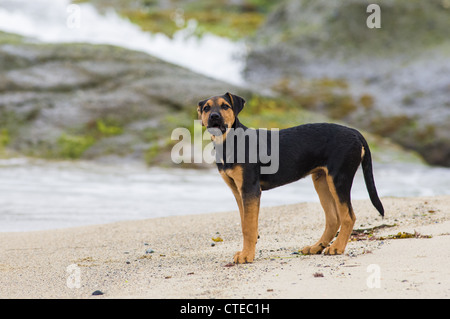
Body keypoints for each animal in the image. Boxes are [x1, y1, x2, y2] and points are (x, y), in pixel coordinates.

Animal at [197, 92, 384, 264]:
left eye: (225, 106)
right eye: (206, 108)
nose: (214, 116)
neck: (229, 142)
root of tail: (355, 132)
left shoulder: (250, 189)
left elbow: (249, 227)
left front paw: (246, 256)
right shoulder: (238, 191)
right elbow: (245, 224)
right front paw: (246, 252)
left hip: (339, 179)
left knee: (348, 217)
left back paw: (337, 248)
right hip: (322, 181)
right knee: (333, 219)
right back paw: (316, 247)